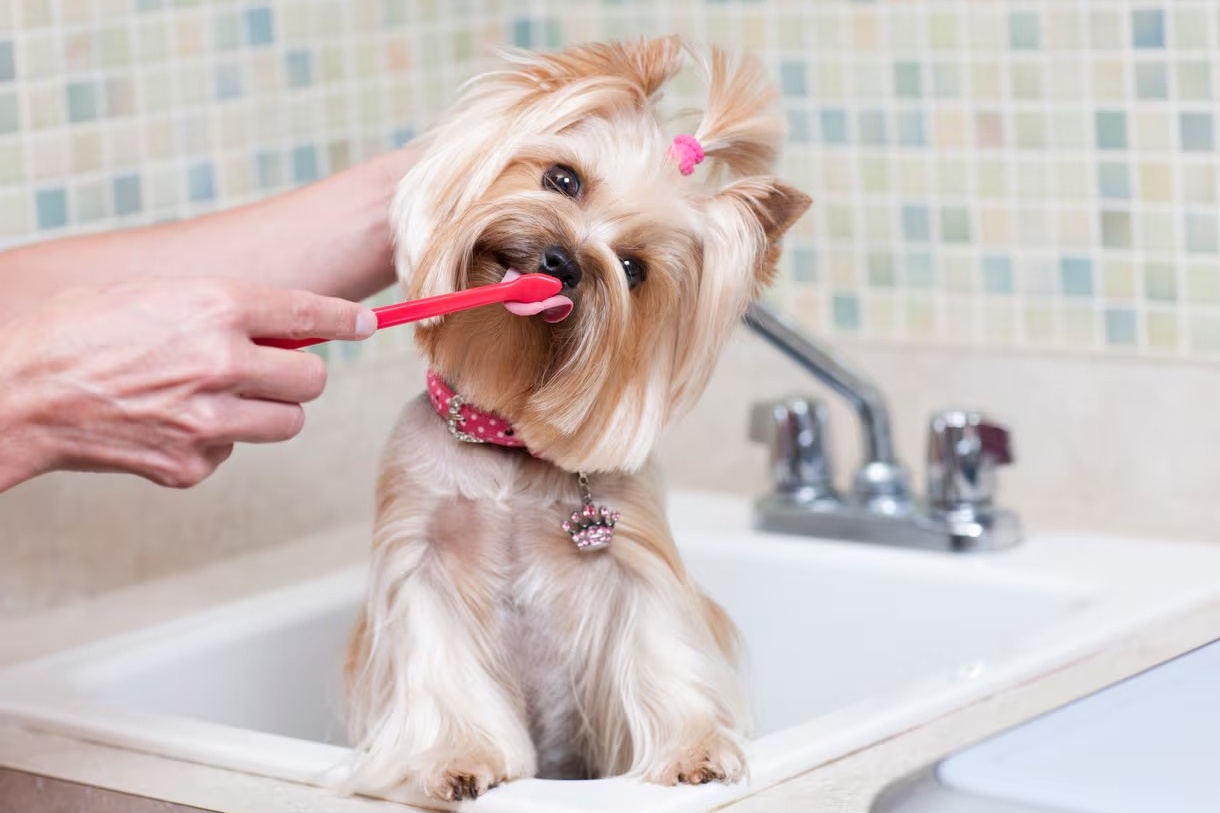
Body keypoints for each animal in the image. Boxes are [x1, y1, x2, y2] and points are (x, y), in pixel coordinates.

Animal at [344, 36, 810, 795]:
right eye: (563, 178)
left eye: (634, 267)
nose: (562, 260)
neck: (505, 441)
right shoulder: (421, 558)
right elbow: (443, 670)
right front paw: (456, 760)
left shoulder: (639, 559)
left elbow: (662, 652)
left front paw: (694, 751)